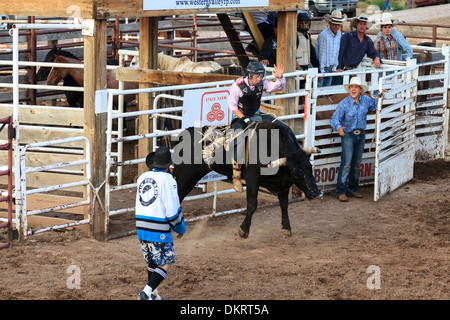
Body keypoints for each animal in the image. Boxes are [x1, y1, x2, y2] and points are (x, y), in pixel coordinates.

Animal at [172, 121, 324, 239]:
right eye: (296, 174)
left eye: (310, 167)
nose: (315, 192)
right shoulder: (252, 179)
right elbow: (252, 205)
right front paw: (243, 230)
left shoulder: (282, 183)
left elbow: (284, 204)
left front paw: (286, 227)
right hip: (185, 177)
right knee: (178, 196)